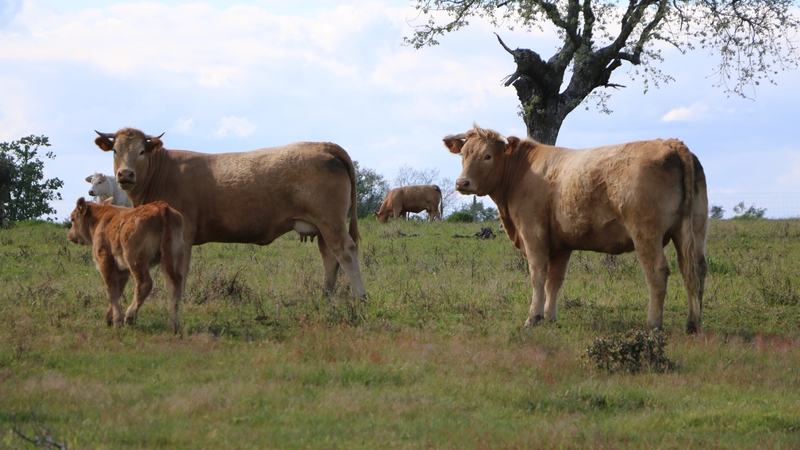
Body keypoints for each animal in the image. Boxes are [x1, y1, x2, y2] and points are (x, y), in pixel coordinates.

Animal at [67, 197, 186, 330]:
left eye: (73, 218)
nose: (69, 235)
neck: (100, 219)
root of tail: (161, 206)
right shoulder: (123, 269)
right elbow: (119, 290)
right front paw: (108, 319)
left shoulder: (105, 262)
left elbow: (111, 292)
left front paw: (116, 320)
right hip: (170, 259)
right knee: (175, 285)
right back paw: (173, 324)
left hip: (135, 261)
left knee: (144, 284)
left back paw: (129, 317)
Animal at [94, 127, 366, 298]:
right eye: (116, 150)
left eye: (141, 151)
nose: (126, 174)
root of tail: (325, 145)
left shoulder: (182, 235)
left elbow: (179, 271)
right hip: (323, 226)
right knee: (330, 257)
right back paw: (325, 296)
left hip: (330, 221)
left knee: (345, 252)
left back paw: (359, 297)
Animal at [440, 125, 708, 332]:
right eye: (463, 154)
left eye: (488, 156)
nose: (462, 182)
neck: (522, 171)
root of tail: (672, 143)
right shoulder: (561, 244)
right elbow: (554, 280)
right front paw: (549, 317)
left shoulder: (533, 232)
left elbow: (538, 275)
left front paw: (533, 318)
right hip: (693, 231)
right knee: (695, 271)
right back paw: (693, 324)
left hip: (646, 234)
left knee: (658, 273)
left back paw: (653, 325)